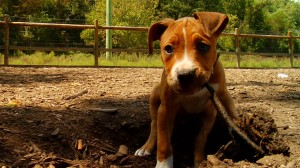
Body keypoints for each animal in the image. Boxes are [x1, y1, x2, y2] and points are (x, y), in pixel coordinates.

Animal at [135, 12, 237, 168]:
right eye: (168, 49)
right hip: (154, 97)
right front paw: (163, 164)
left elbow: (202, 138)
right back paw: (145, 147)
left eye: (203, 46)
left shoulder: (219, 99)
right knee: (154, 127)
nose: (185, 75)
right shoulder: (166, 109)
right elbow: (164, 142)